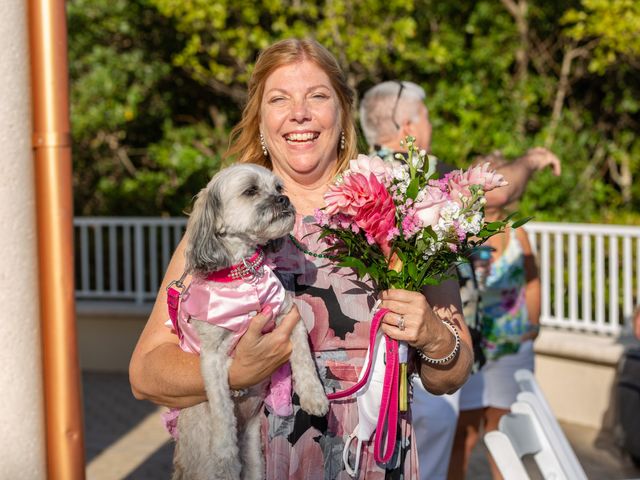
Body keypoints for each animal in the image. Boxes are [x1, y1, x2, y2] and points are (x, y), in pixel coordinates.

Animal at [171, 164, 328, 480]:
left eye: (278, 188)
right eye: (251, 191)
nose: (284, 200)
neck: (245, 273)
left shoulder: (288, 316)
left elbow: (304, 360)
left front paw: (314, 395)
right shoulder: (211, 357)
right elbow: (221, 411)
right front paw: (225, 457)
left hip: (256, 458)